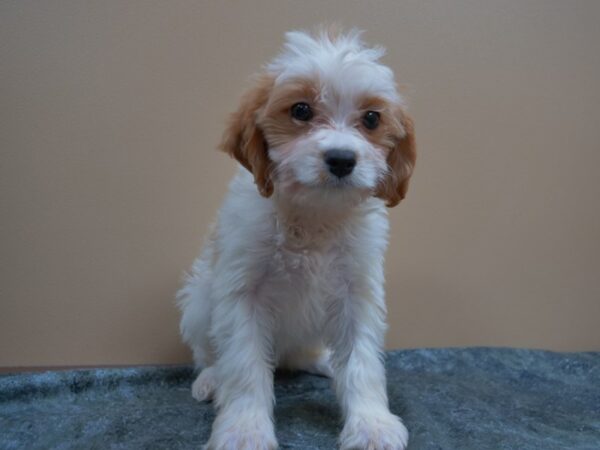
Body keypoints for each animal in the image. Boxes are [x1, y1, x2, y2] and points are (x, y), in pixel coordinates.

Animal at [176, 28, 414, 450]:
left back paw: (323, 360)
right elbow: (244, 367)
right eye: (301, 111)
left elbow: (362, 362)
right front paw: (244, 430)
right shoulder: (242, 294)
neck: (313, 215)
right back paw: (210, 379)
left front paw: (371, 424)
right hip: (199, 301)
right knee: (209, 354)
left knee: (302, 355)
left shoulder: (357, 293)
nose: (341, 159)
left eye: (372, 118)